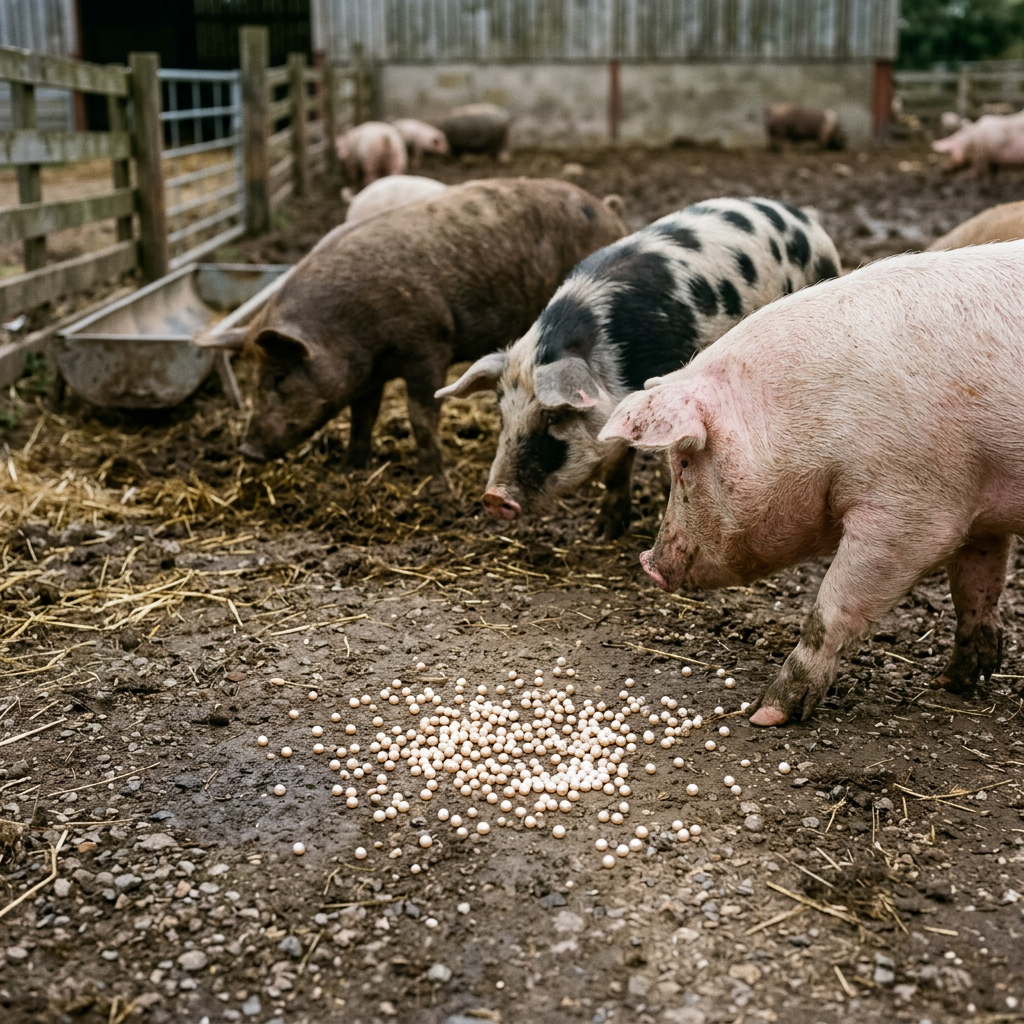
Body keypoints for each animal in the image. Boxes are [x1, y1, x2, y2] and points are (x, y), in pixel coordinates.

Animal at [231, 178, 626, 475]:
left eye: (279, 376)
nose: (248, 449)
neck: (349, 330)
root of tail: (608, 210)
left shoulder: (429, 346)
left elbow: (420, 416)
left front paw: (433, 477)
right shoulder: (367, 376)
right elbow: (363, 417)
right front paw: (350, 469)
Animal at [436, 197, 840, 538]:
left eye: (552, 417)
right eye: (501, 414)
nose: (494, 497)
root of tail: (805, 219)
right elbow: (618, 463)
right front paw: (604, 532)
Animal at [599, 242, 1024, 726]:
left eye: (685, 461)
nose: (647, 562)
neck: (816, 420)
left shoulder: (913, 510)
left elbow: (832, 607)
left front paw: (767, 713)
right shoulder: (979, 509)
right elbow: (975, 587)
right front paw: (951, 682)